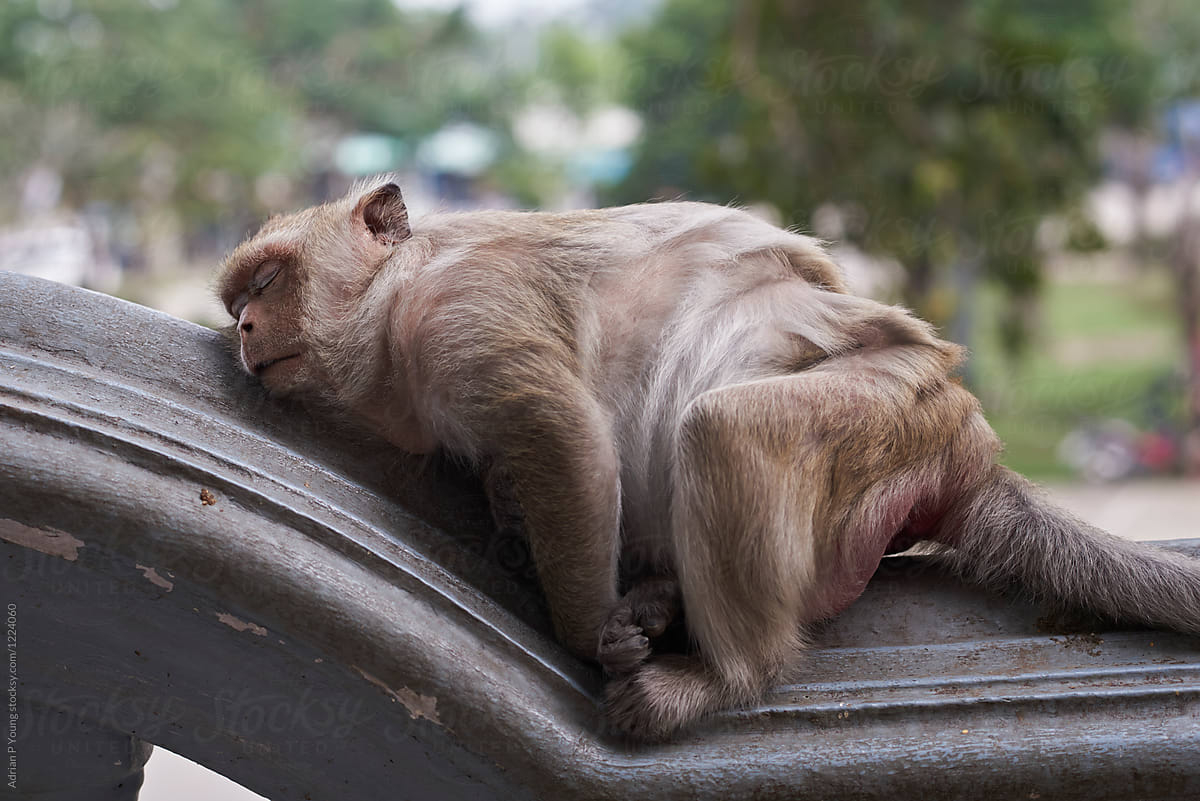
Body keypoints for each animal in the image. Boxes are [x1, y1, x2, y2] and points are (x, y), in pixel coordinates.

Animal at [216, 178, 1200, 743]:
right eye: (237, 303)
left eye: (266, 283)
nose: (245, 331)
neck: (393, 299)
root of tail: (965, 440)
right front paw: (518, 530)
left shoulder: (462, 311)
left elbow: (564, 435)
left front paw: (591, 630)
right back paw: (664, 599)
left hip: (887, 404)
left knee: (722, 428)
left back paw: (717, 678)